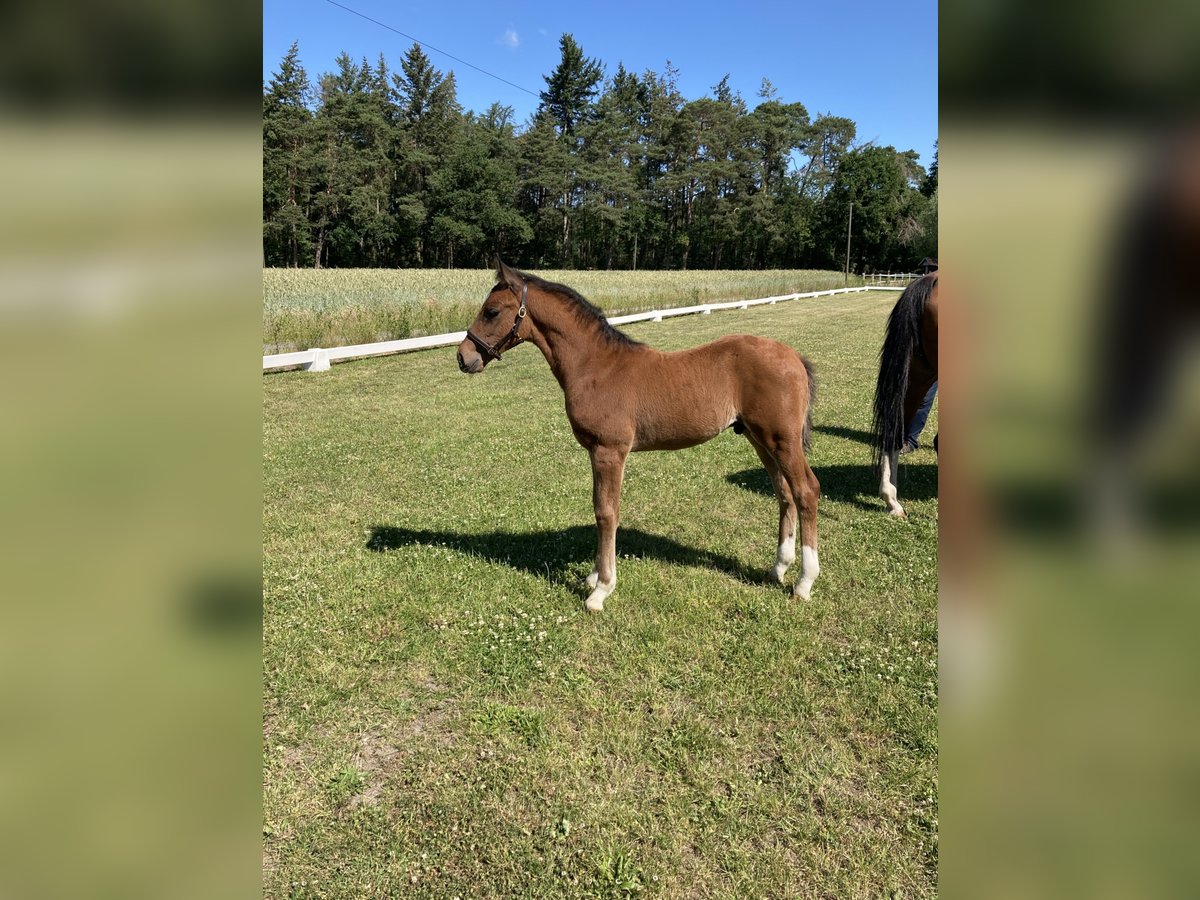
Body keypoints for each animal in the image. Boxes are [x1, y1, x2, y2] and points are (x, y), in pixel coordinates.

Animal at [453, 260, 820, 614]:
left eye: (491, 311)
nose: (463, 357)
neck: (596, 367)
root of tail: (795, 358)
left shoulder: (609, 450)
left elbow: (606, 512)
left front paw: (601, 590)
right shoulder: (596, 452)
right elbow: (602, 509)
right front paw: (593, 576)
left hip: (782, 440)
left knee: (805, 491)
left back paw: (804, 583)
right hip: (760, 440)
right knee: (784, 493)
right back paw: (778, 568)